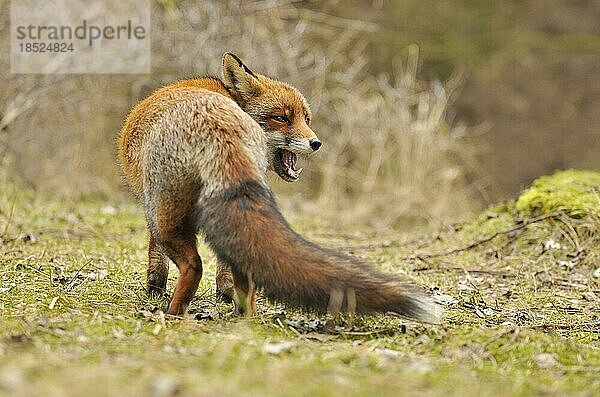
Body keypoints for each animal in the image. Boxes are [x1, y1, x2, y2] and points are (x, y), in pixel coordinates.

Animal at [117, 52, 440, 320]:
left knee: (193, 264)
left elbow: (154, 251)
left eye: (305, 119)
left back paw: (174, 312)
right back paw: (244, 315)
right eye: (281, 118)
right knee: (244, 268)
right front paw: (223, 293)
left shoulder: (150, 204)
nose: (316, 143)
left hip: (165, 214)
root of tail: (218, 125)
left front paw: (155, 287)